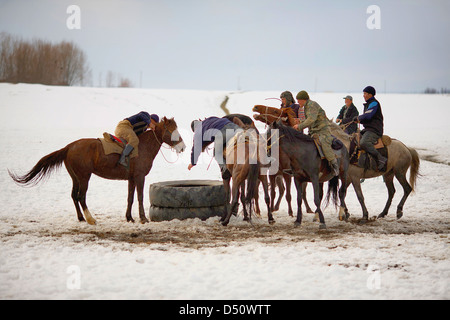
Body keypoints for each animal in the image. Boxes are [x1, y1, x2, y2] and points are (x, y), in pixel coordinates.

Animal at [8, 117, 185, 225]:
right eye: (172, 131)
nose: (183, 147)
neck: (142, 147)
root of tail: (69, 147)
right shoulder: (140, 177)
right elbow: (140, 197)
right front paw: (143, 219)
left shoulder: (131, 178)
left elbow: (130, 198)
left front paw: (129, 218)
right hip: (84, 177)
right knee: (81, 197)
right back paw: (91, 219)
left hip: (75, 178)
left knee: (74, 195)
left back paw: (81, 218)